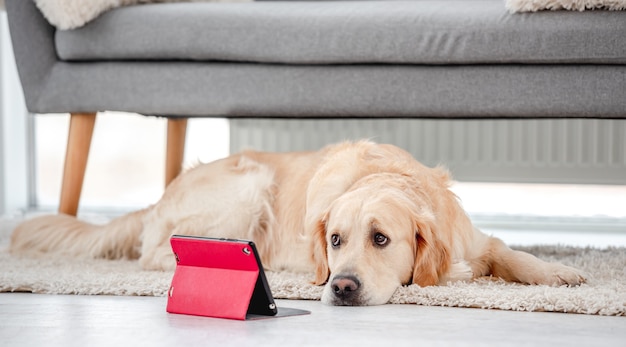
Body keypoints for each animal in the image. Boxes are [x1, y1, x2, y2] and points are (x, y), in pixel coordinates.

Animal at [11, 140, 584, 306]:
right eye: (335, 241)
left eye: (381, 239)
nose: (342, 286)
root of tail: (161, 195)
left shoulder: (473, 239)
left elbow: (512, 253)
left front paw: (558, 273)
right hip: (249, 188)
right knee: (159, 252)